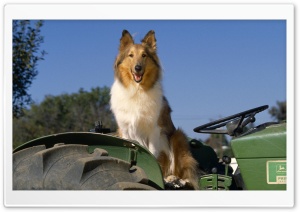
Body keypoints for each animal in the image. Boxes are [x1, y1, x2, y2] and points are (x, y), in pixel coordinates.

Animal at [110, 29, 199, 189]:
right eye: (130, 55)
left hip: (178, 136)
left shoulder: (154, 128)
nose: (138, 68)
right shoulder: (125, 129)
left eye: (144, 55)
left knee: (186, 174)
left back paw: (175, 180)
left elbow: (152, 154)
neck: (137, 91)